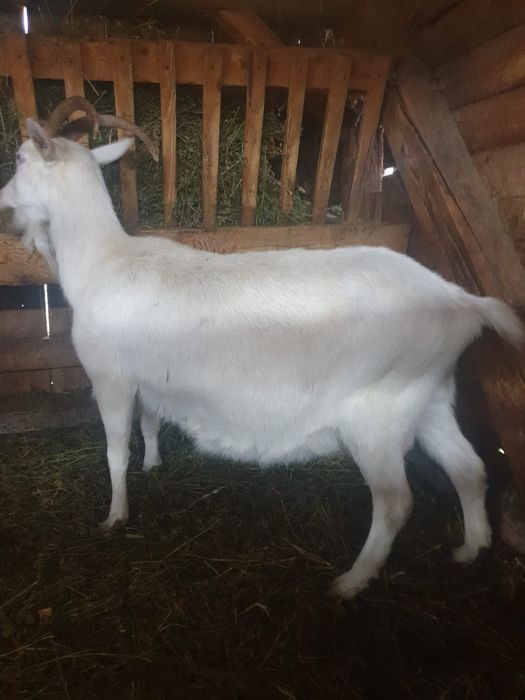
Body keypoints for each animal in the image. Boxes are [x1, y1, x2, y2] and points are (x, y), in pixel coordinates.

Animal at [1, 98, 523, 600]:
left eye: (21, 158)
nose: (3, 202)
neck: (102, 262)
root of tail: (461, 300)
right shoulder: (148, 378)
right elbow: (150, 422)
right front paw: (153, 465)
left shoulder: (110, 376)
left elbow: (115, 451)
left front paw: (114, 517)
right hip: (431, 394)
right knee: (470, 469)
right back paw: (471, 549)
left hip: (378, 414)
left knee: (396, 502)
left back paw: (351, 582)